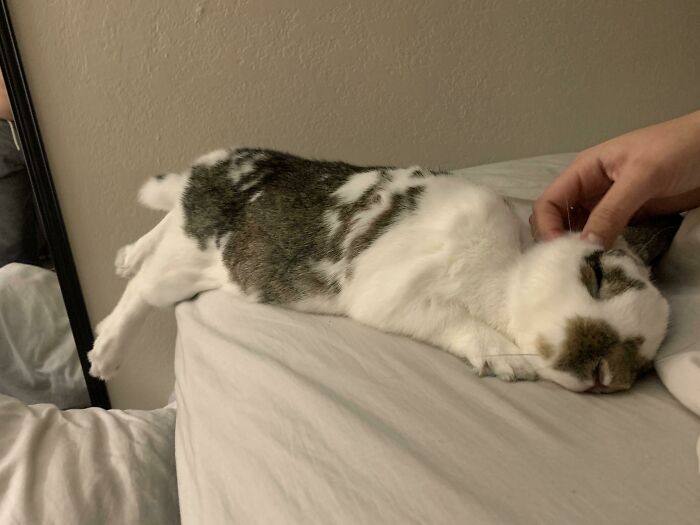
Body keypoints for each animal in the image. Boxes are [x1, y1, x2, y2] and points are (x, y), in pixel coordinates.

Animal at [89, 145, 680, 390]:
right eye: (596, 275)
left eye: (640, 366)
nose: (599, 371)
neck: (508, 269)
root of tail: (208, 167)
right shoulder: (398, 296)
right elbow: (456, 322)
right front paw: (507, 361)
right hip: (186, 261)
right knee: (140, 293)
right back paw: (105, 355)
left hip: (193, 253)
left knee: (160, 234)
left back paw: (127, 255)